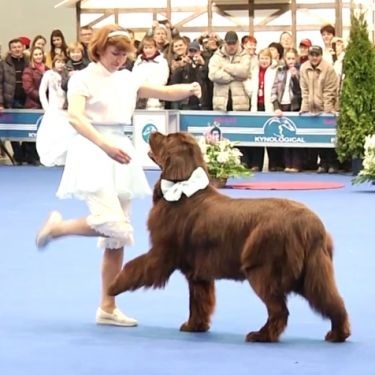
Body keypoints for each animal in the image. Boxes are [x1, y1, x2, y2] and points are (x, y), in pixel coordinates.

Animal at [109, 132, 352, 344]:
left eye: (167, 137)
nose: (153, 133)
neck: (183, 190)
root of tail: (311, 224)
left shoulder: (162, 253)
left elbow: (135, 267)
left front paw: (112, 286)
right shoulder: (198, 272)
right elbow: (200, 300)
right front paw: (195, 326)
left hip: (263, 269)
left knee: (279, 310)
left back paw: (261, 336)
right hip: (314, 271)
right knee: (333, 301)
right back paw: (338, 334)